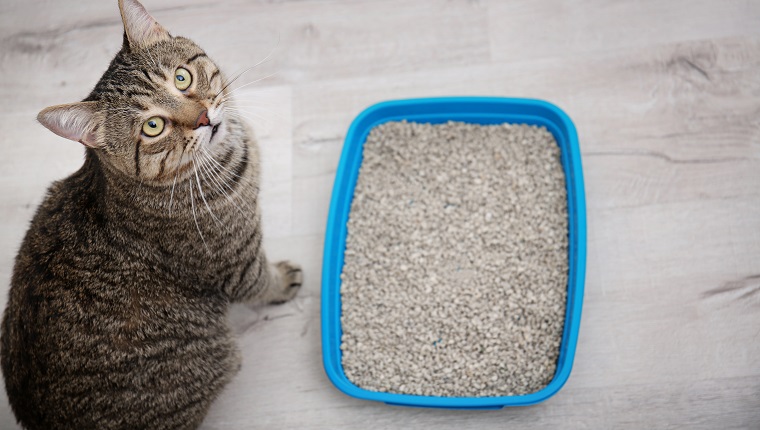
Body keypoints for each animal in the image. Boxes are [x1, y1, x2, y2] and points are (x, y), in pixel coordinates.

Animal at [0, 1, 302, 428]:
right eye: (153, 126)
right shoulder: (235, 263)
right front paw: (283, 281)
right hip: (218, 356)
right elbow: (262, 282)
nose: (204, 117)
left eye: (181, 77)